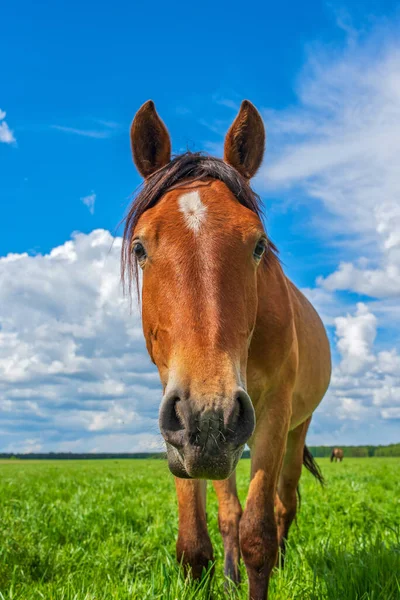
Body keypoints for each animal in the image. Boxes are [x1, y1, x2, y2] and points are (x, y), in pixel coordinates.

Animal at [121, 101, 332, 596]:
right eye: (139, 247)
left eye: (258, 246)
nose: (208, 416)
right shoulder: (183, 429)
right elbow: (196, 545)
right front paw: (224, 576)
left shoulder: (271, 414)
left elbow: (259, 534)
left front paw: (262, 569)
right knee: (231, 512)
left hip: (290, 428)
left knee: (285, 503)